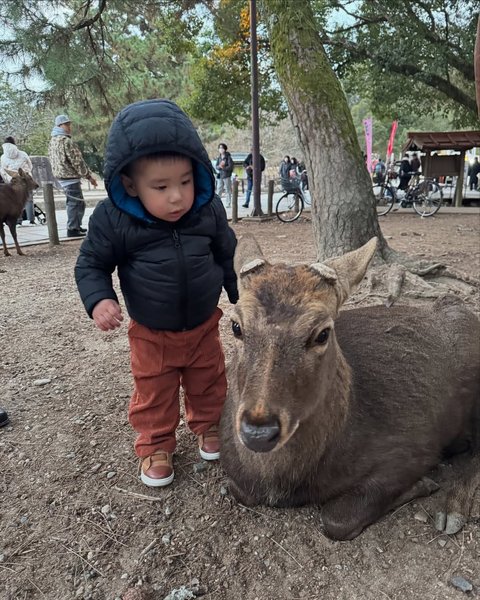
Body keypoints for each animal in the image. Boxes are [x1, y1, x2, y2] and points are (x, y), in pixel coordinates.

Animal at [218, 233, 480, 540]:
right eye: (235, 326)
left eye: (322, 333)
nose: (259, 432)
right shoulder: (237, 478)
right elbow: (238, 490)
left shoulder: (412, 449)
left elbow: (337, 519)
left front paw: (424, 484)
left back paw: (451, 511)